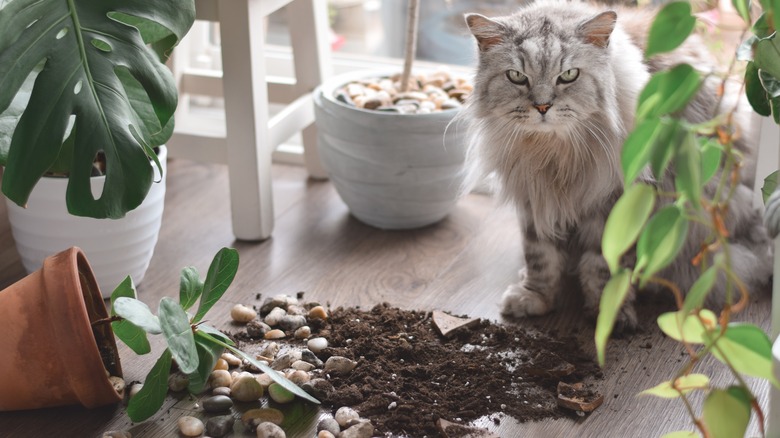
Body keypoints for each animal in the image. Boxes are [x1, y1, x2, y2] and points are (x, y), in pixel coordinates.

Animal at [460, 0, 772, 328]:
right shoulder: (533, 195)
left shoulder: (616, 201)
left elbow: (604, 264)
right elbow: (540, 257)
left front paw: (609, 312)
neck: (556, 154)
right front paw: (534, 298)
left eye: (569, 75)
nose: (542, 107)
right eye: (517, 76)